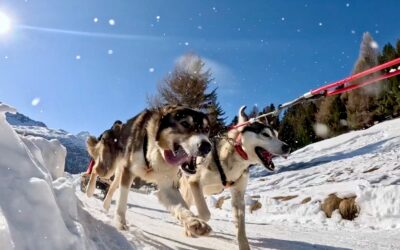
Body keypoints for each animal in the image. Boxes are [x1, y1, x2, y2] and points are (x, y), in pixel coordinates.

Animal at [181, 106, 290, 249]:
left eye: (276, 135)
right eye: (265, 134)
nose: (287, 147)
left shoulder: (238, 196)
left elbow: (241, 229)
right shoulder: (195, 182)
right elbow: (205, 214)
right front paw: (196, 223)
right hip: (189, 191)